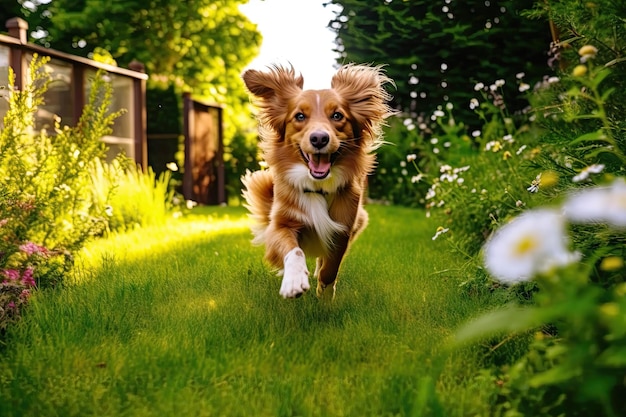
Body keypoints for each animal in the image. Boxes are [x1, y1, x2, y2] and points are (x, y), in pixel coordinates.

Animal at [239, 64, 390, 300]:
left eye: (337, 115)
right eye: (300, 116)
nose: (319, 138)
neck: (318, 187)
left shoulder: (343, 228)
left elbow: (331, 267)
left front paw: (325, 294)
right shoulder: (280, 224)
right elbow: (294, 250)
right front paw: (293, 281)